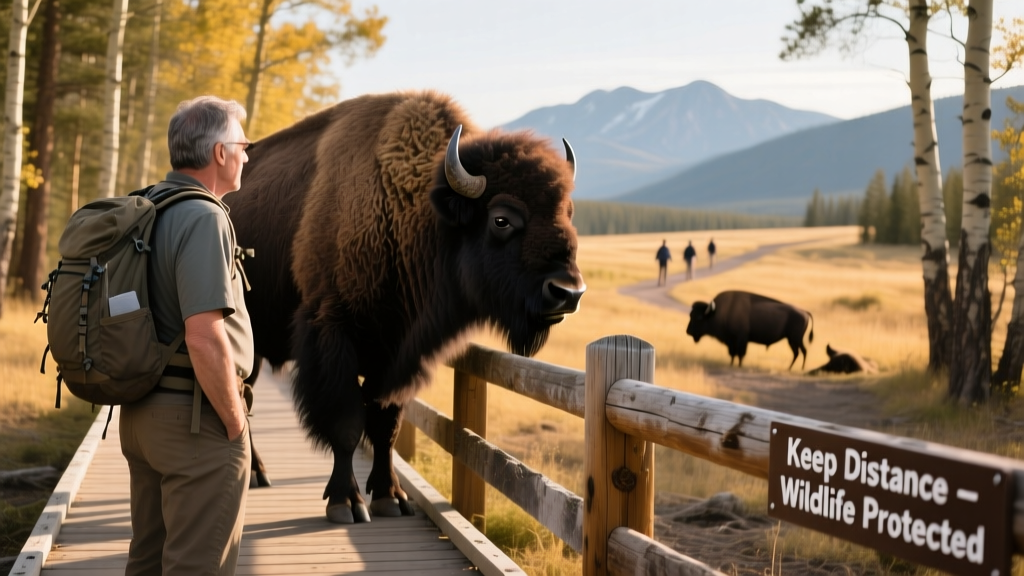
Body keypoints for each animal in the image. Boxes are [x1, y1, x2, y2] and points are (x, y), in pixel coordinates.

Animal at [225, 91, 585, 524]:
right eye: (502, 219)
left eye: (567, 212)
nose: (568, 292)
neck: (410, 211)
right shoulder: (333, 336)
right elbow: (346, 424)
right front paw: (346, 503)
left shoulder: (400, 356)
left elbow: (386, 425)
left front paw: (390, 498)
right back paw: (256, 475)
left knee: (243, 397)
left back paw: (258, 473)